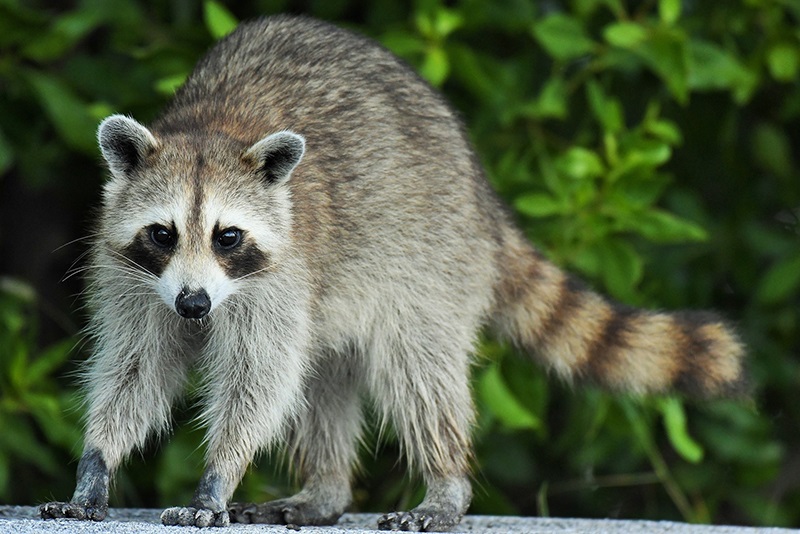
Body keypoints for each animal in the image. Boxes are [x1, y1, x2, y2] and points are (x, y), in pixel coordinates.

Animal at [40, 14, 746, 532]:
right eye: (163, 234)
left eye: (227, 236)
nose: (192, 306)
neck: (211, 126)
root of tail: (481, 195)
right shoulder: (131, 277)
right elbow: (136, 367)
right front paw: (97, 462)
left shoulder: (281, 277)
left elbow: (257, 380)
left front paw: (217, 475)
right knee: (324, 379)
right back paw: (324, 491)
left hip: (430, 260)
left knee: (418, 371)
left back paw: (445, 483)